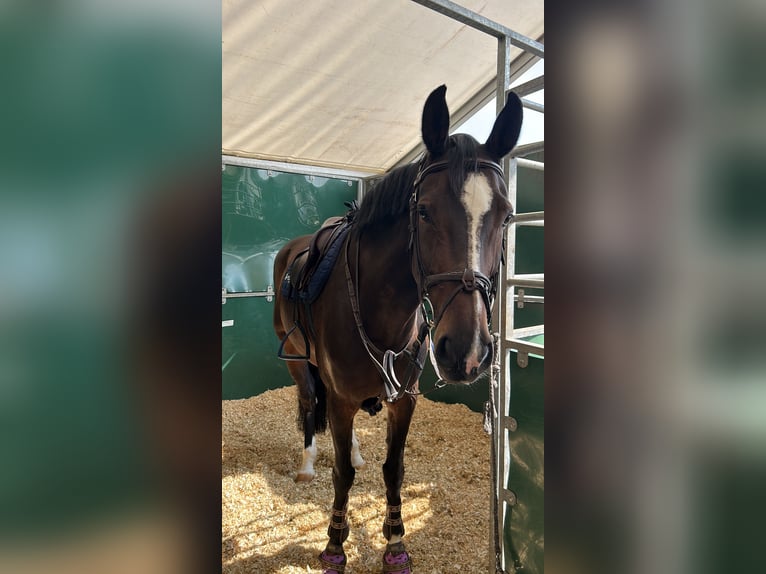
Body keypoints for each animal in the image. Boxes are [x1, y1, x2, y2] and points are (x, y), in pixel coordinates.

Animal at [272, 84, 522, 574]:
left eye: (505, 216)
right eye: (423, 211)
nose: (466, 351)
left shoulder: (403, 400)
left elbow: (394, 469)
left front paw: (395, 545)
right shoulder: (342, 398)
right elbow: (342, 475)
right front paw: (334, 546)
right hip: (297, 361)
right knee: (310, 403)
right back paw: (309, 463)